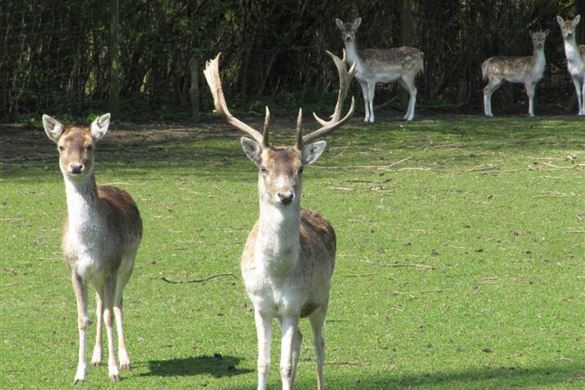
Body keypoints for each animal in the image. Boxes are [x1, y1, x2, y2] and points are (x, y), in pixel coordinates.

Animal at [41, 113, 142, 384]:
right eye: (60, 146)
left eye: (90, 146)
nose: (76, 167)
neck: (88, 247)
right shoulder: (75, 271)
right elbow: (82, 318)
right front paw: (80, 373)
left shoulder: (111, 267)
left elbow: (109, 315)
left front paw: (114, 371)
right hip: (95, 277)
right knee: (99, 303)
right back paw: (97, 357)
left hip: (127, 266)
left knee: (116, 304)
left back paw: (125, 359)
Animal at [202, 50, 356, 388]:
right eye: (263, 167)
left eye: (300, 168)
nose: (285, 195)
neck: (274, 276)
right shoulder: (259, 306)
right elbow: (263, 362)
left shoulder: (292, 306)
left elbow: (284, 365)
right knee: (299, 340)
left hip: (321, 298)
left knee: (319, 343)